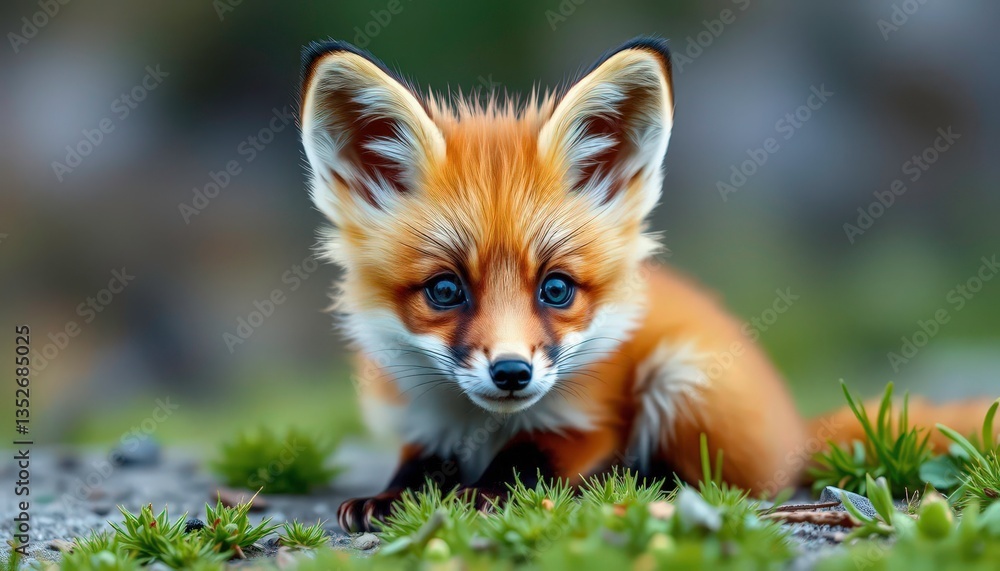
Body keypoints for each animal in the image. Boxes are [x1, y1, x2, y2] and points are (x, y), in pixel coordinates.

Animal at [297, 36, 995, 533]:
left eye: (556, 289)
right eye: (445, 291)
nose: (512, 373)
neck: (482, 425)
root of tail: (795, 429)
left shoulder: (589, 418)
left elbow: (531, 458)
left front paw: (486, 492)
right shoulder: (420, 421)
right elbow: (415, 465)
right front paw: (389, 497)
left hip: (681, 379)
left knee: (728, 484)